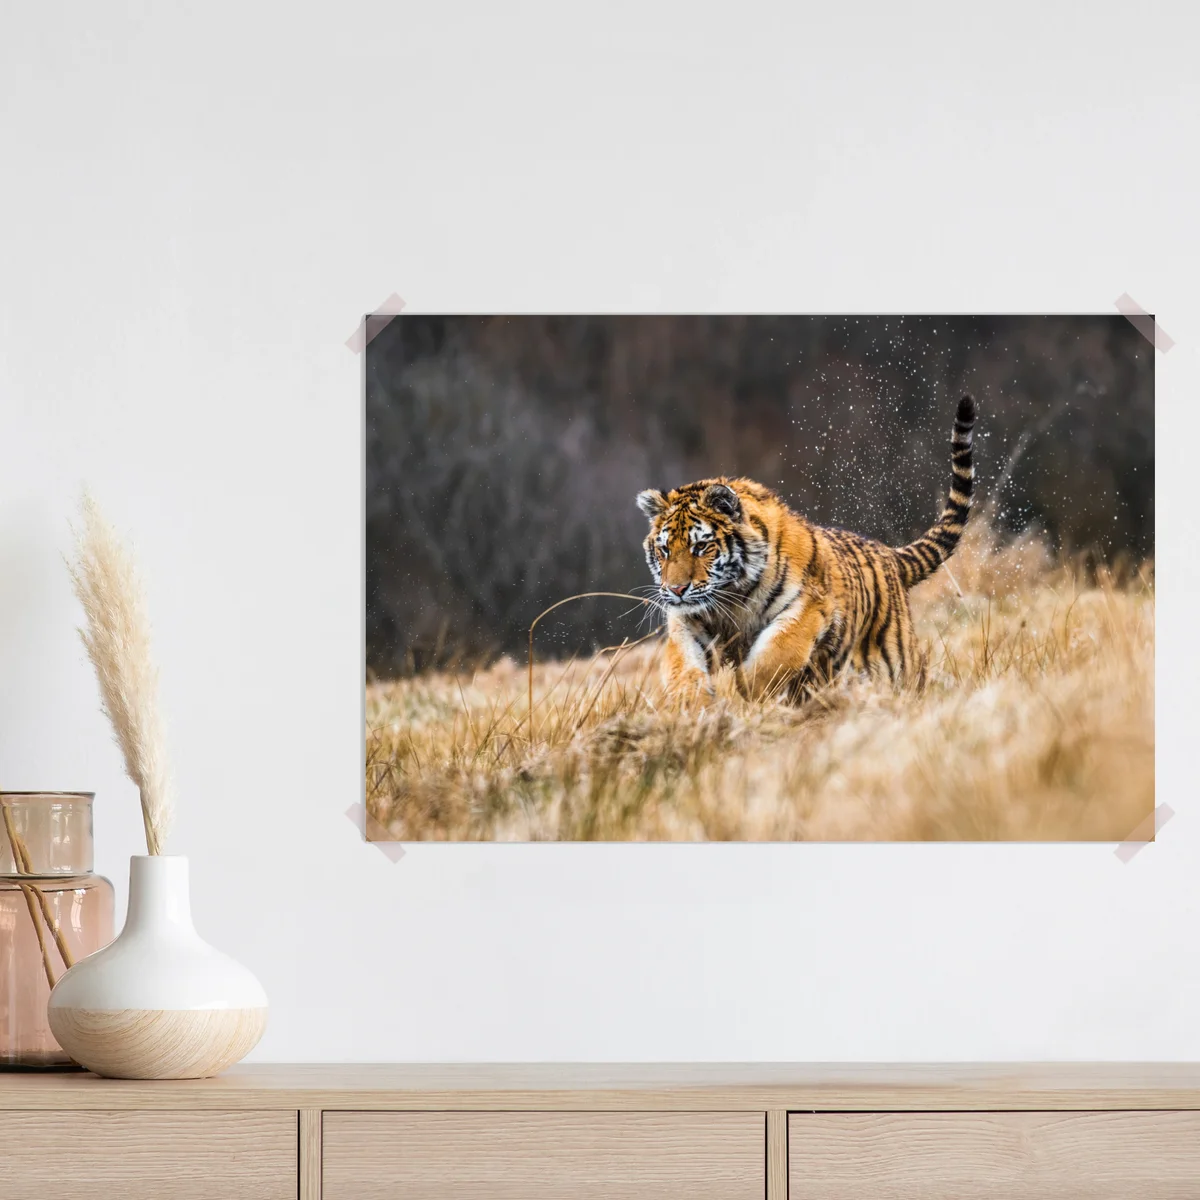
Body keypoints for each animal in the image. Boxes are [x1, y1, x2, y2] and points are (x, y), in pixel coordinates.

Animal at [636, 394, 976, 702]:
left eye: (701, 547)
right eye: (665, 550)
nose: (677, 589)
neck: (731, 599)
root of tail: (889, 554)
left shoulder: (808, 607)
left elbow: (776, 654)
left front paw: (746, 690)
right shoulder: (687, 622)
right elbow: (682, 666)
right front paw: (692, 705)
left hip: (898, 660)